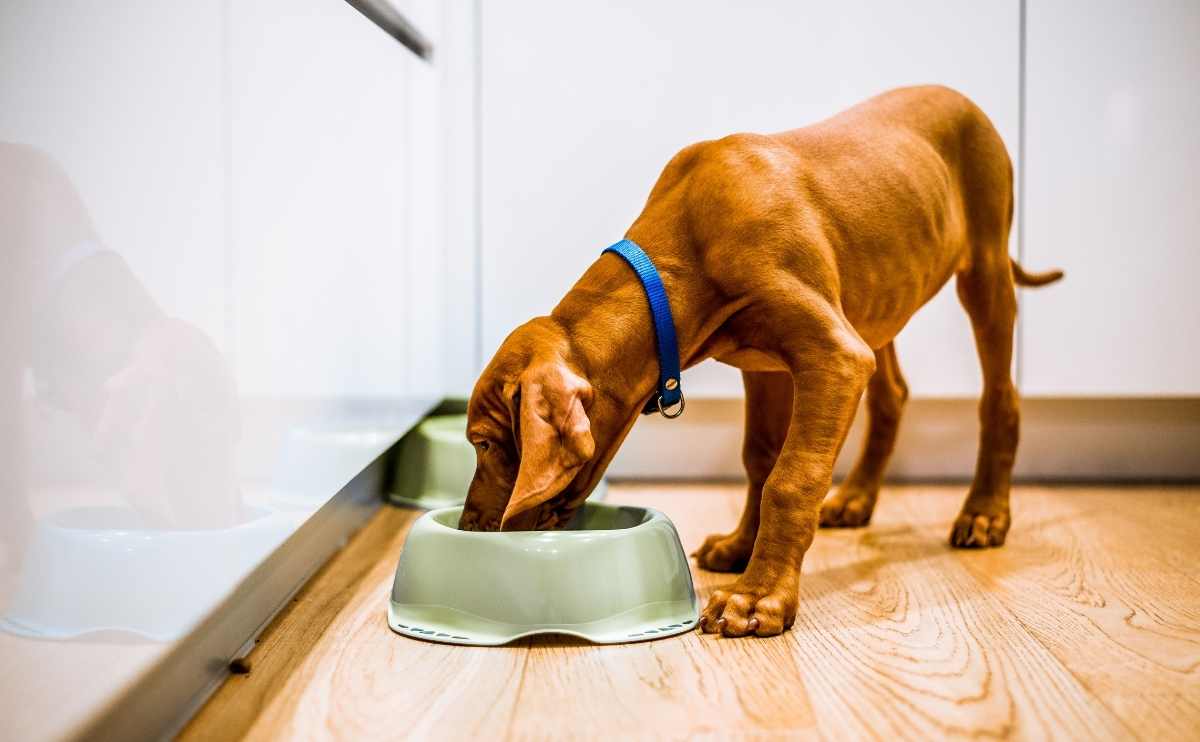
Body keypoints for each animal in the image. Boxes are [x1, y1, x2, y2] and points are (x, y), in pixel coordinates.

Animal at [456, 84, 1060, 633]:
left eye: (484, 444)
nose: (468, 528)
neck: (676, 255)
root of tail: (959, 96)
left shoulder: (835, 357)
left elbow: (790, 478)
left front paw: (759, 597)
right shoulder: (764, 367)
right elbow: (760, 459)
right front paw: (741, 548)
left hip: (984, 270)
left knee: (1000, 398)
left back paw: (984, 513)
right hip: (876, 302)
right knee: (893, 395)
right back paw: (856, 499)